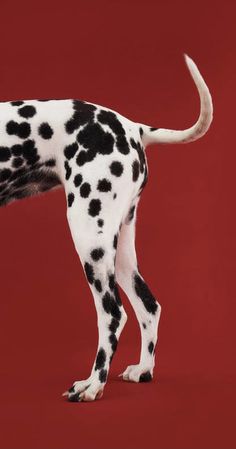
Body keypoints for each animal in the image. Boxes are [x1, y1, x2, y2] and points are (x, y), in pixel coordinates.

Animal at [0, 54, 212, 400]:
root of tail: (132, 127)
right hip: (118, 249)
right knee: (148, 307)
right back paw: (143, 370)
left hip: (88, 238)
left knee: (113, 314)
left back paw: (93, 384)